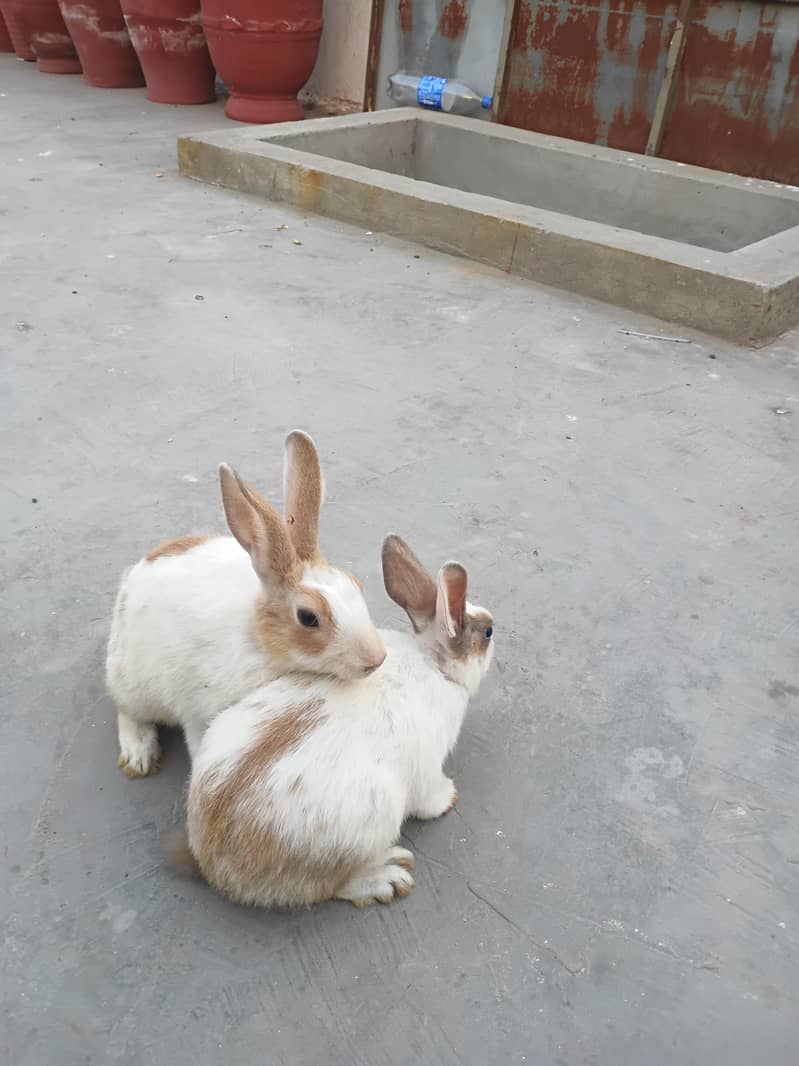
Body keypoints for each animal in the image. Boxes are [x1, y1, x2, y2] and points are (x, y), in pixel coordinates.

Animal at [106, 431, 386, 778]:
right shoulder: (199, 710)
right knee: (127, 711)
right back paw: (139, 757)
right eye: (308, 617)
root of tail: (132, 576)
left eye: (356, 583)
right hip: (134, 683)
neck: (260, 643)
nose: (376, 658)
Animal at [184, 533, 494, 909]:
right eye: (488, 632)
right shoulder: (428, 767)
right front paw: (449, 798)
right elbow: (429, 798)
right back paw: (387, 877)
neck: (435, 663)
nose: (494, 626)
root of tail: (216, 864)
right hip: (374, 816)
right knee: (329, 886)